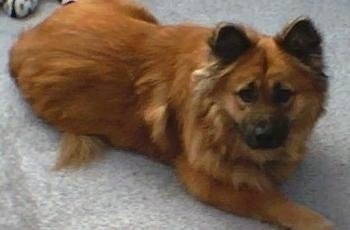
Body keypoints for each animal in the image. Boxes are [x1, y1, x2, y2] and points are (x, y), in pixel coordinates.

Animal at [9, 0, 334, 229]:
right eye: (246, 94)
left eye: (284, 94)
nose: (264, 136)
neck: (216, 117)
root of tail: (23, 40)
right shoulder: (203, 180)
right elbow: (274, 202)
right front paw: (317, 221)